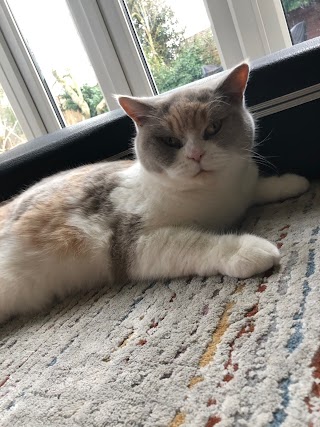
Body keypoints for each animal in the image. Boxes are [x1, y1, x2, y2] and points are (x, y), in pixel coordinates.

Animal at [0, 63, 310, 322]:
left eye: (212, 128)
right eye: (171, 141)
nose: (196, 155)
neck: (216, 195)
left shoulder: (241, 189)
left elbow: (258, 187)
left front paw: (293, 183)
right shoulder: (136, 242)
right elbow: (200, 244)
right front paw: (248, 250)